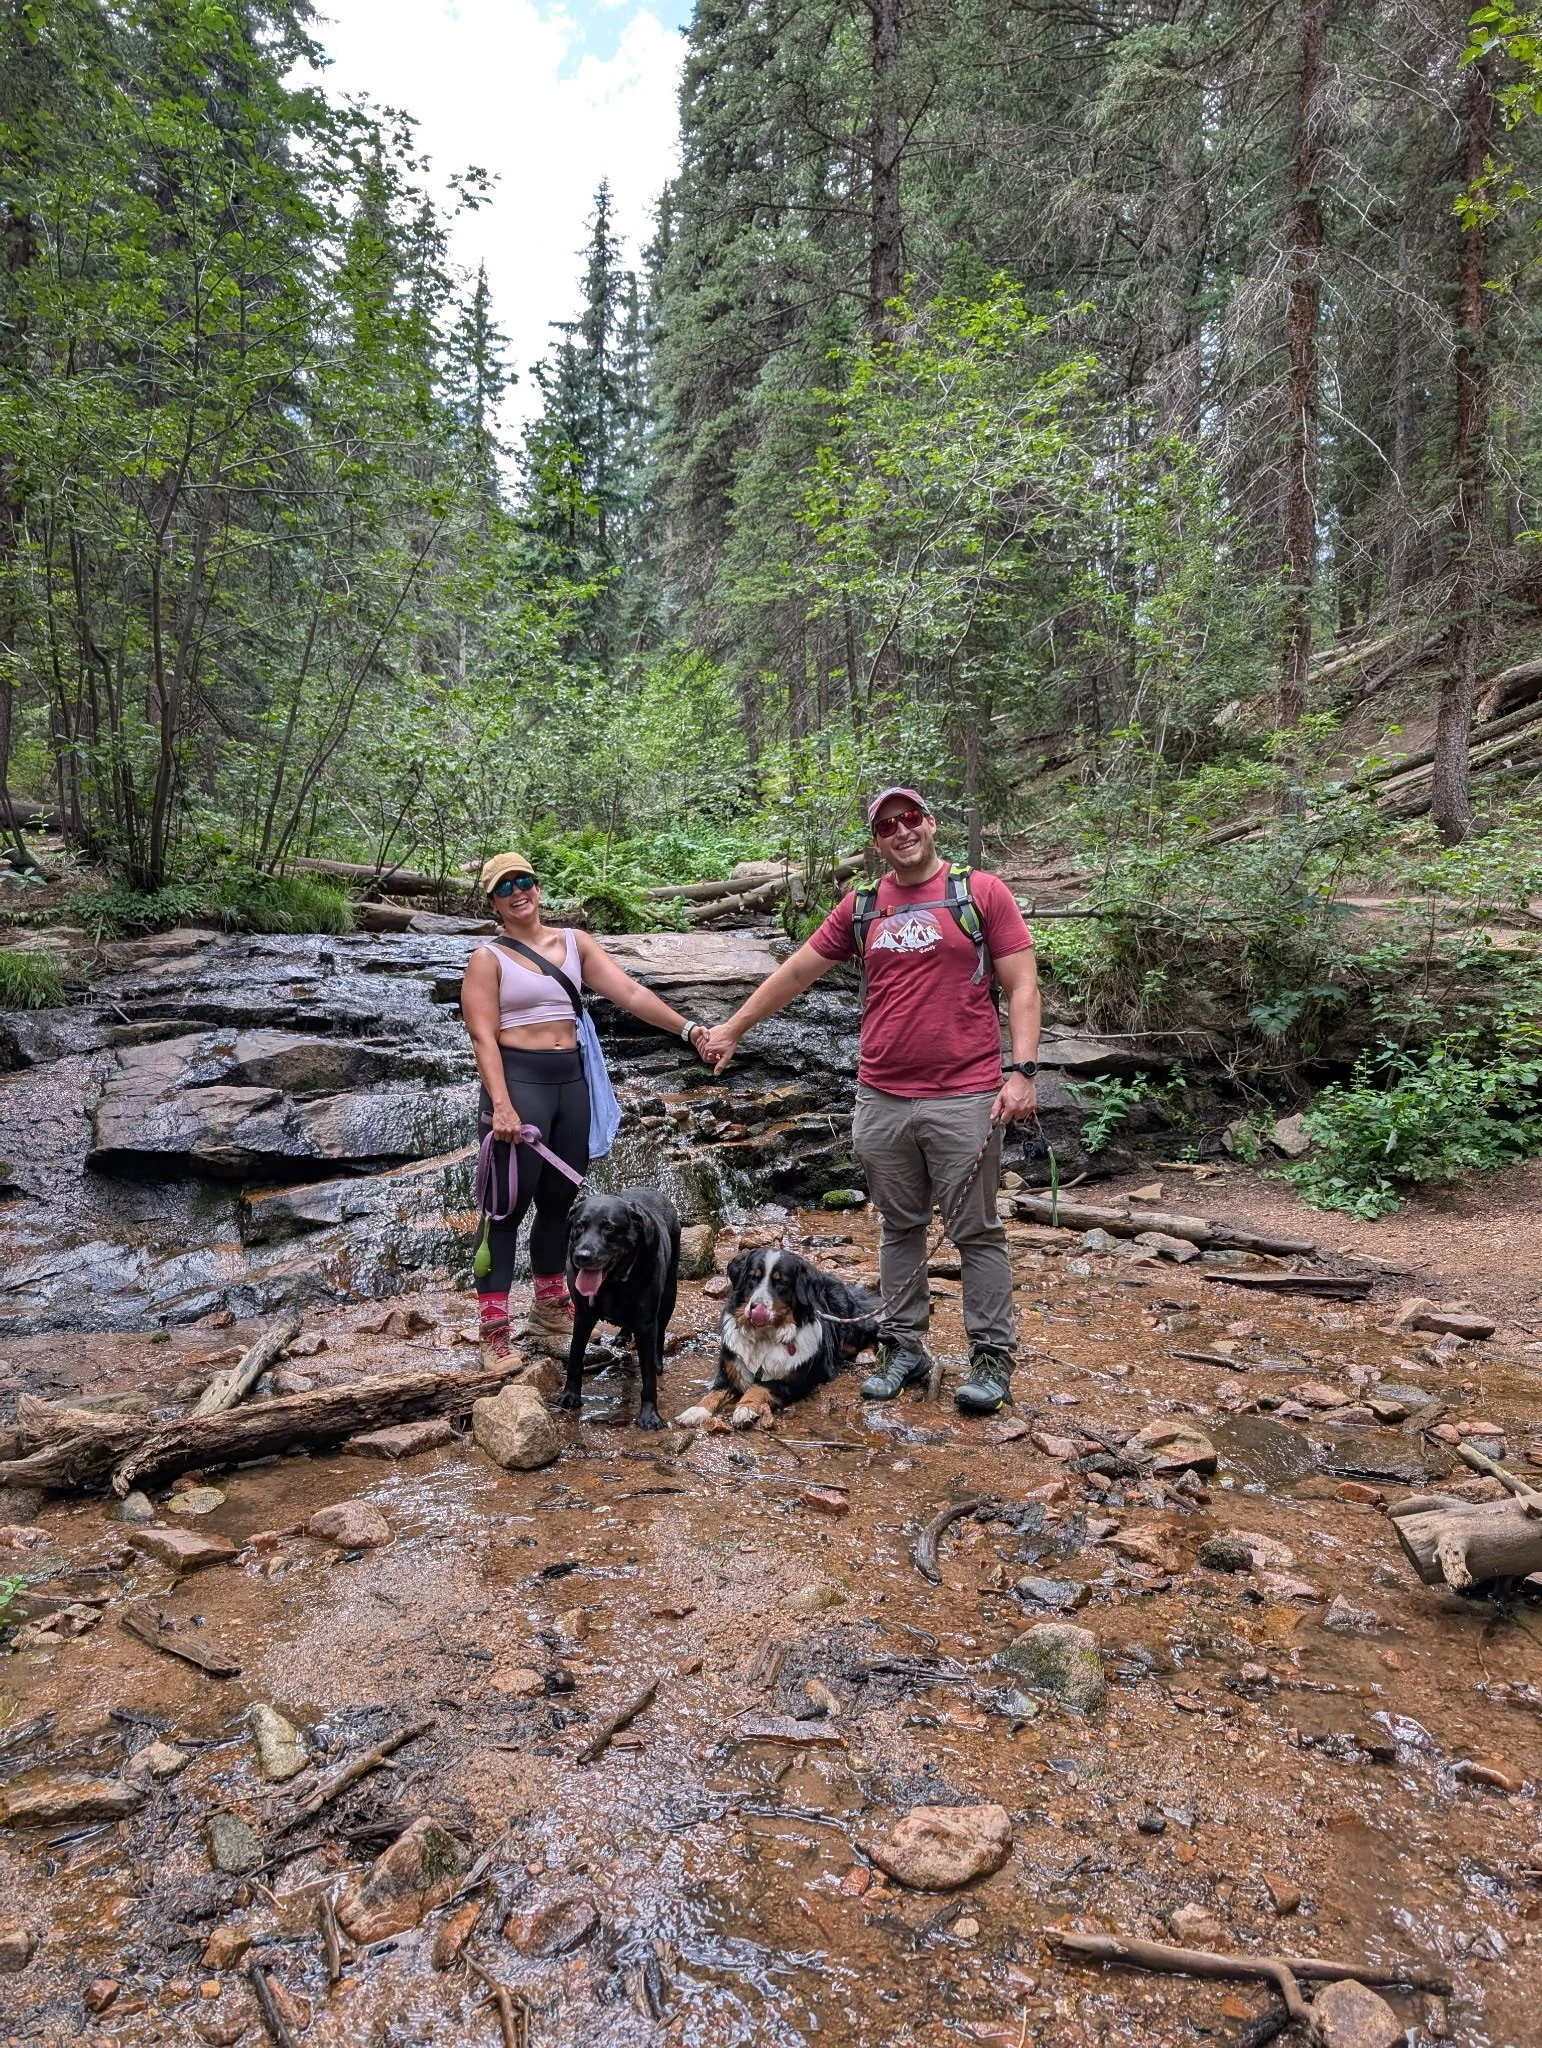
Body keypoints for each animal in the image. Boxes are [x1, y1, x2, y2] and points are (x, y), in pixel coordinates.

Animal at [560, 1188, 680, 1431]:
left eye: (609, 1227)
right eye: (579, 1225)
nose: (582, 1256)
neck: (611, 1284)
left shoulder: (646, 1323)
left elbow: (648, 1378)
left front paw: (650, 1415)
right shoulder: (583, 1316)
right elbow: (575, 1357)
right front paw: (570, 1396)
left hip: (669, 1295)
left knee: (661, 1332)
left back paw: (657, 1360)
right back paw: (623, 1335)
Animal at [675, 1248, 880, 1432]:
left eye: (781, 1282)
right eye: (753, 1278)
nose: (756, 1307)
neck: (764, 1337)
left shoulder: (791, 1384)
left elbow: (759, 1386)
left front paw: (745, 1408)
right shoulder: (729, 1375)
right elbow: (713, 1394)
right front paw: (695, 1411)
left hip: (850, 1332)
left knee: (873, 1329)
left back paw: (866, 1355)